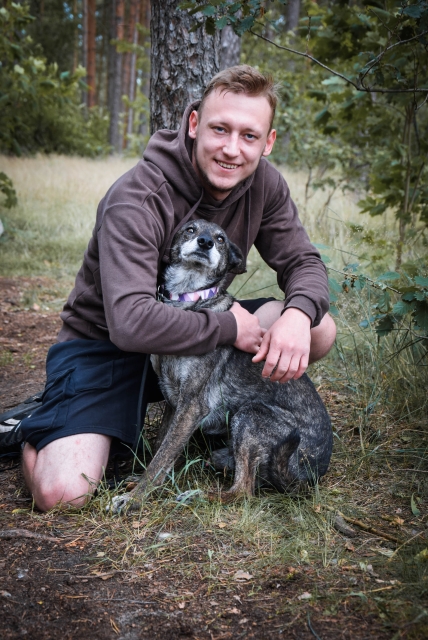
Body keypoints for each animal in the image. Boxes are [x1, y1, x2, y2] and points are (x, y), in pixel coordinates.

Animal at [111, 219, 332, 512]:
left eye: (220, 239)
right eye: (190, 229)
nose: (205, 242)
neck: (188, 300)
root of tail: (312, 473)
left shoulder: (192, 406)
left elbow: (162, 455)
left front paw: (135, 498)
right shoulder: (174, 400)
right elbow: (161, 447)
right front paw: (142, 483)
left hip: (251, 416)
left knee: (243, 492)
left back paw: (198, 497)